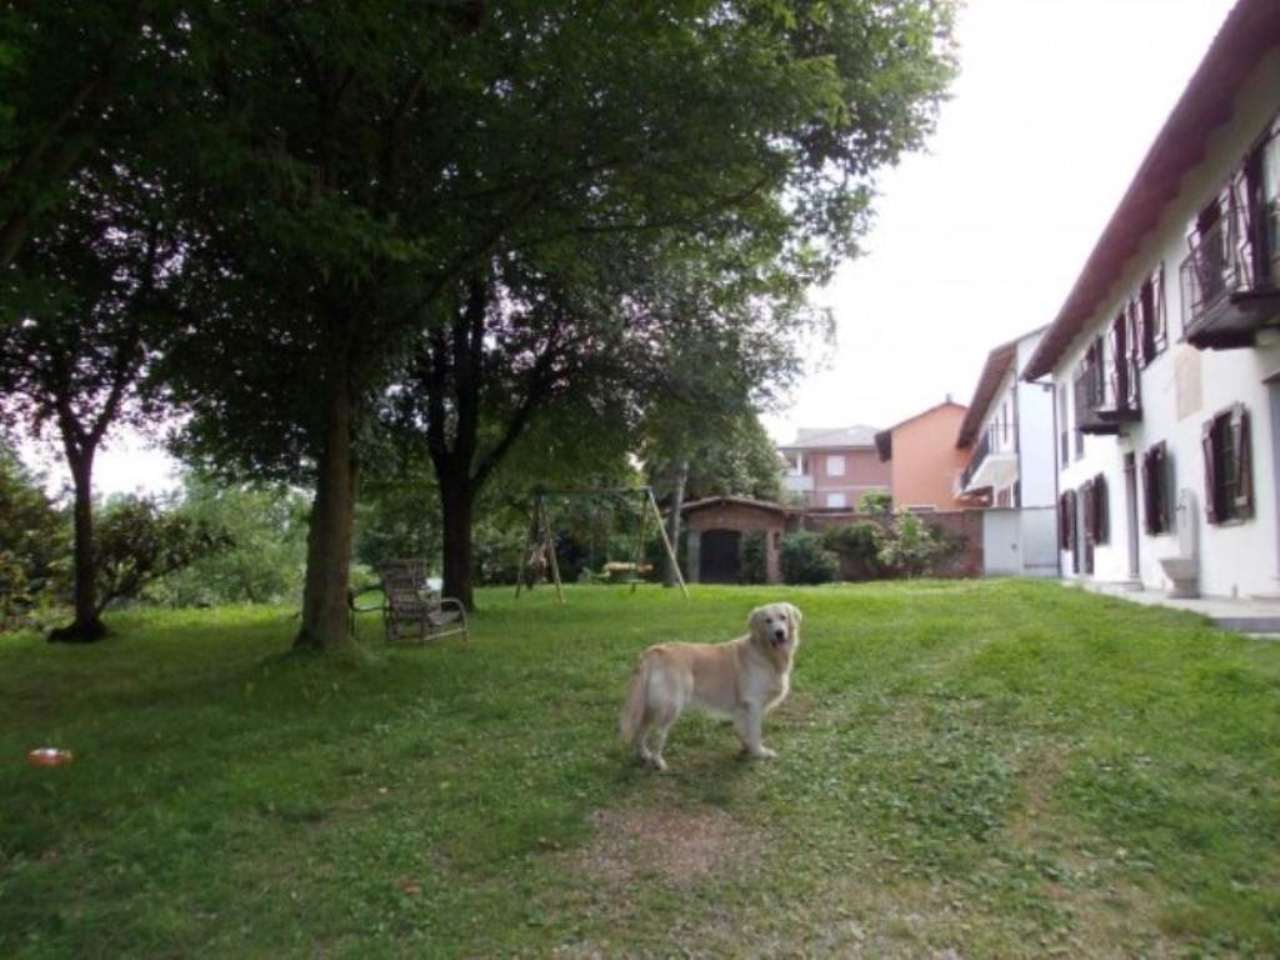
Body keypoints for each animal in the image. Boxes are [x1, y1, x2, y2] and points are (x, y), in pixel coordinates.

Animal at [616, 601, 798, 773]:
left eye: (783, 617)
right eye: (767, 620)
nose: (779, 633)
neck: (766, 653)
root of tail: (652, 651)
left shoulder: (742, 709)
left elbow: (743, 731)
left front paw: (747, 749)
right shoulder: (753, 704)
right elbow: (755, 732)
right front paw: (760, 753)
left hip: (649, 707)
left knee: (640, 732)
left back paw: (644, 755)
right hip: (670, 707)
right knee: (658, 735)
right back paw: (658, 762)